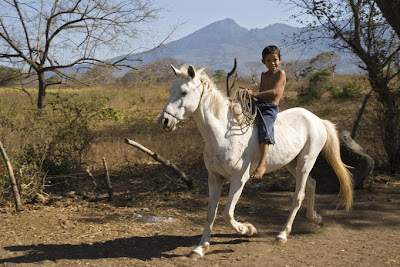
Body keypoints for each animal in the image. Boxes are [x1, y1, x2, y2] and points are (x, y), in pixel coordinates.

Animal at [158, 65, 352, 260]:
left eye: (184, 92)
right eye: (170, 90)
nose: (164, 121)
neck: (223, 135)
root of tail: (317, 120)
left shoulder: (239, 180)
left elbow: (227, 214)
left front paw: (248, 229)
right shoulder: (214, 178)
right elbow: (210, 214)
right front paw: (200, 248)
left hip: (306, 161)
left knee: (299, 195)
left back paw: (282, 235)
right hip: (292, 163)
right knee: (312, 184)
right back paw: (316, 219)